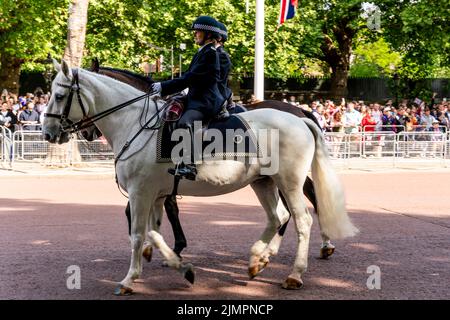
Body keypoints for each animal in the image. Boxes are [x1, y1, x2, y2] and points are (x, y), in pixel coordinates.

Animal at [44, 59, 356, 296]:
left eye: (59, 96)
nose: (48, 133)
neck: (135, 123)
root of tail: (299, 116)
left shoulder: (140, 192)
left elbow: (138, 232)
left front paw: (130, 278)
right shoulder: (156, 194)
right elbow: (154, 230)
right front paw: (177, 263)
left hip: (288, 182)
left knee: (302, 218)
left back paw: (296, 272)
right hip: (264, 182)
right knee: (278, 216)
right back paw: (258, 258)